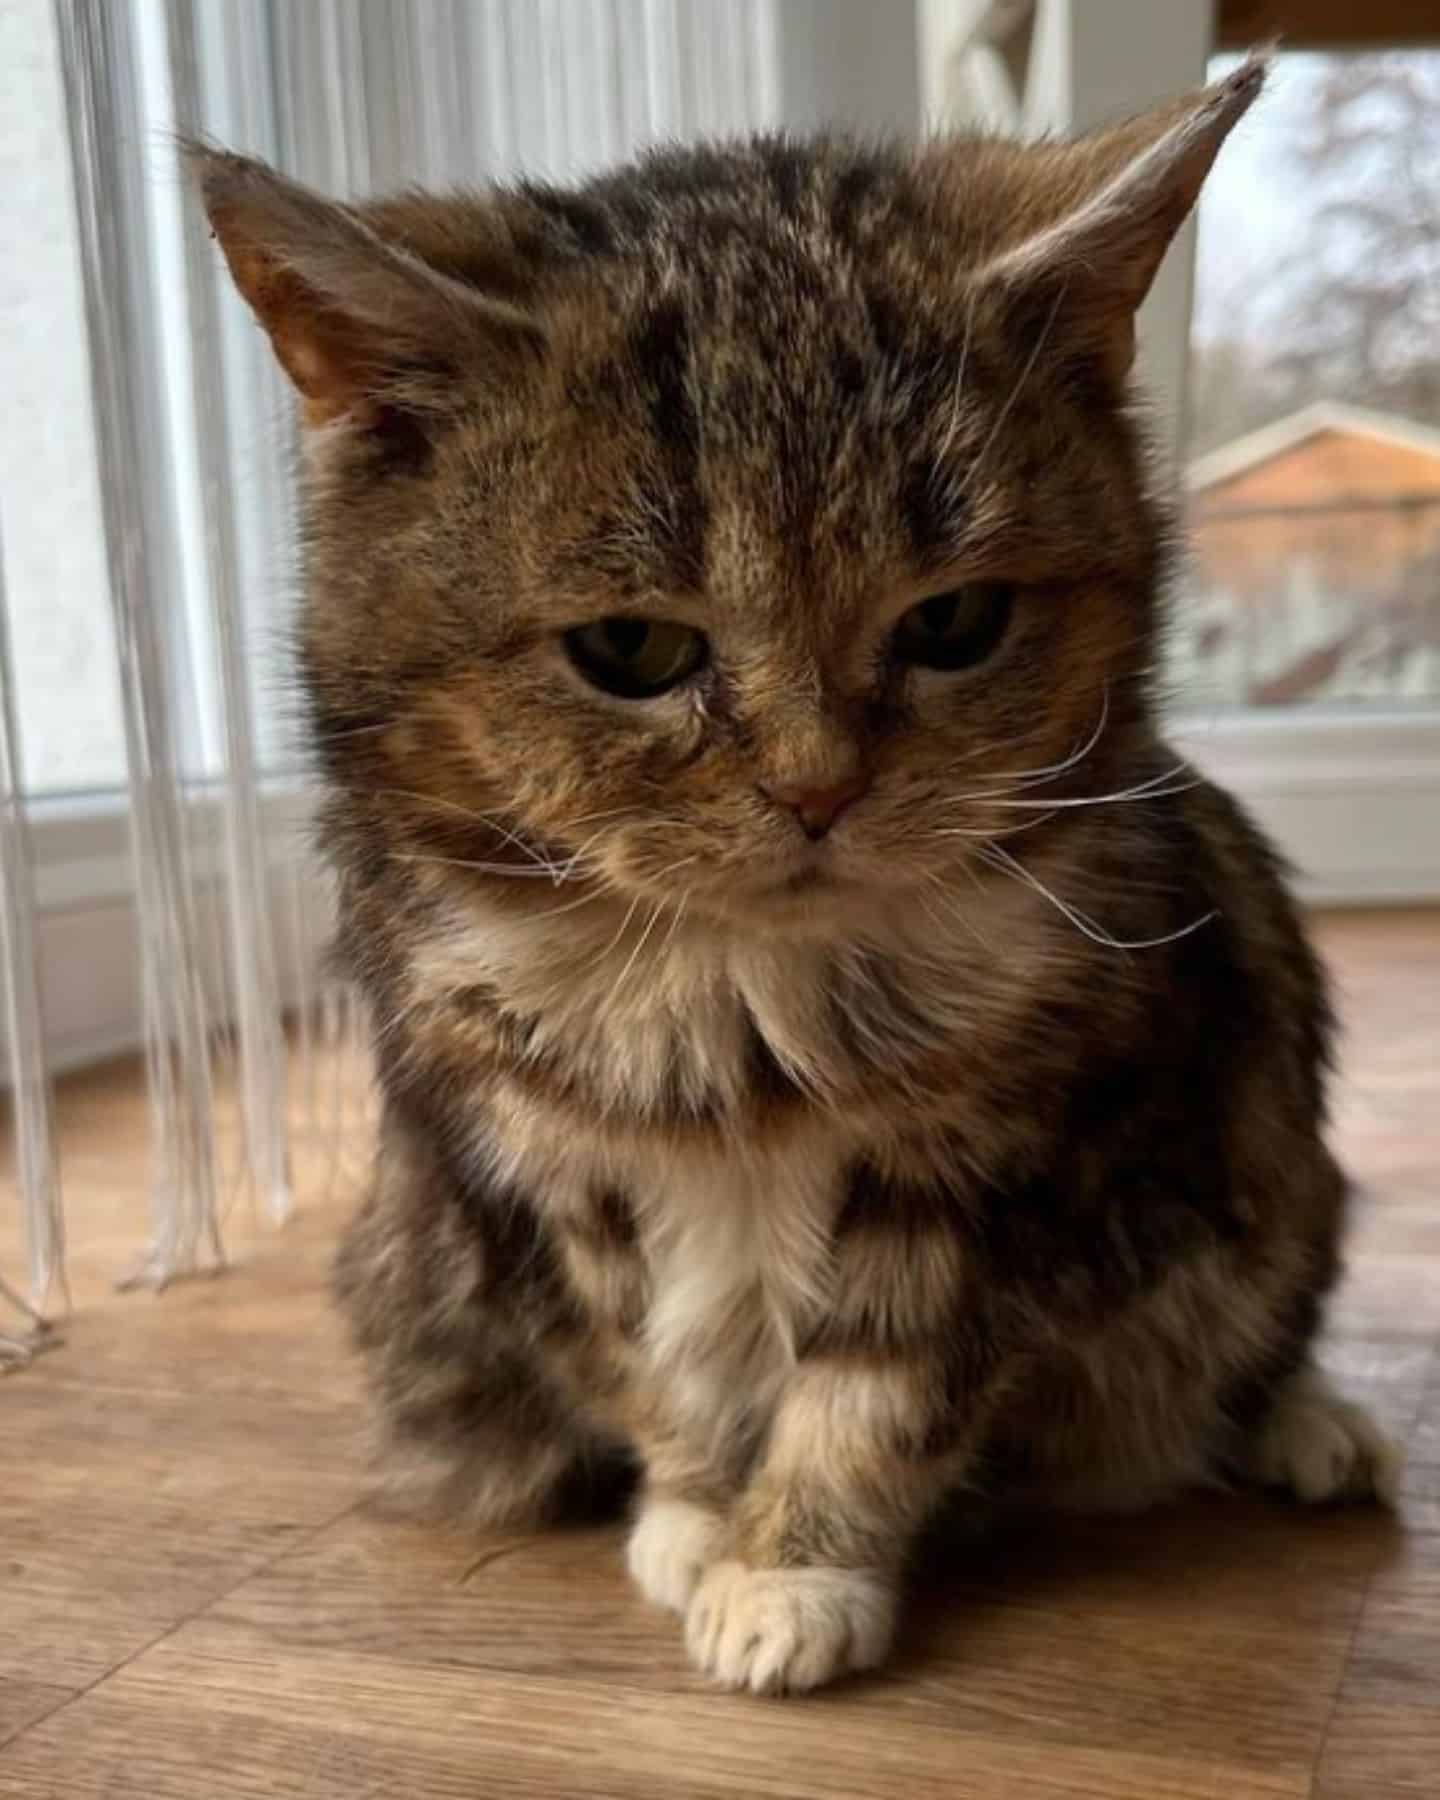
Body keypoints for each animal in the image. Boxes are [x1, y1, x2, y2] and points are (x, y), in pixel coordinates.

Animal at [190, 49, 1396, 1692]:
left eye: (954, 624)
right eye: (631, 649)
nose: (819, 788)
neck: (734, 990)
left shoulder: (1008, 1151)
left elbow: (881, 1379)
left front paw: (794, 1563)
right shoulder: (550, 1168)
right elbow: (647, 1355)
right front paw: (700, 1514)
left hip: (1270, 1143)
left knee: (1264, 1307)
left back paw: (1308, 1424)